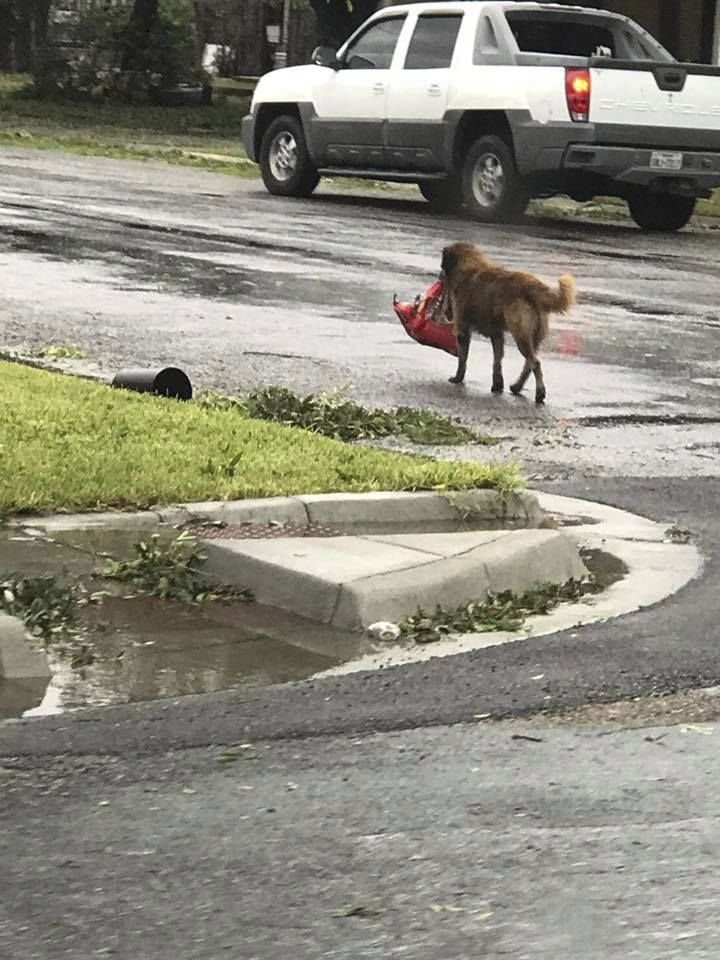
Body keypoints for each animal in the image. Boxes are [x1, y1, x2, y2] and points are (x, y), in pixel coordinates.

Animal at [436, 244, 576, 404]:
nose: (439, 274)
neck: (470, 267)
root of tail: (532, 286)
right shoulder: (497, 334)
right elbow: (497, 361)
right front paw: (497, 385)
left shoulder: (463, 331)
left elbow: (463, 359)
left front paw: (458, 378)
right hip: (533, 337)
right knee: (529, 364)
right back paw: (517, 386)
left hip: (521, 335)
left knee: (535, 363)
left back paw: (539, 393)